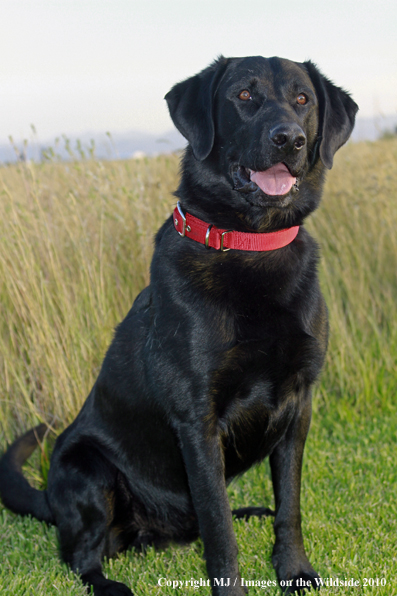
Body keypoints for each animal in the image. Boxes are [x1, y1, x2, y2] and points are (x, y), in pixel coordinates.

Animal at [0, 57, 358, 596]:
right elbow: (219, 530)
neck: (252, 247)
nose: (289, 139)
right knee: (81, 556)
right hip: (88, 469)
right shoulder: (198, 419)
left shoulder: (300, 403)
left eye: (302, 100)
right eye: (244, 95)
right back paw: (110, 584)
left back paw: (246, 510)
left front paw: (294, 571)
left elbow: (289, 506)